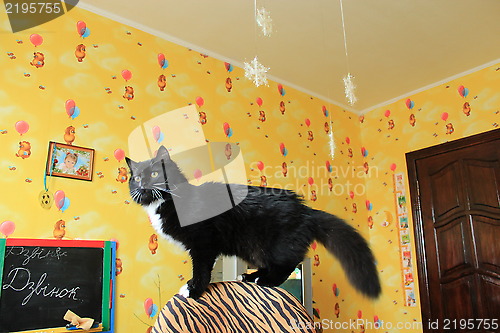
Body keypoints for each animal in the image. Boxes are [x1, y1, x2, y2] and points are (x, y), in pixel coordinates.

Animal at [127, 145, 380, 298]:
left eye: (155, 174)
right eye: (137, 177)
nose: (142, 185)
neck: (169, 201)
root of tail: (306, 210)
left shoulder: (203, 242)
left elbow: (202, 269)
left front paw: (193, 289)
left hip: (275, 244)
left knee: (287, 265)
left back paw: (265, 281)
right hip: (255, 248)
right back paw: (250, 276)